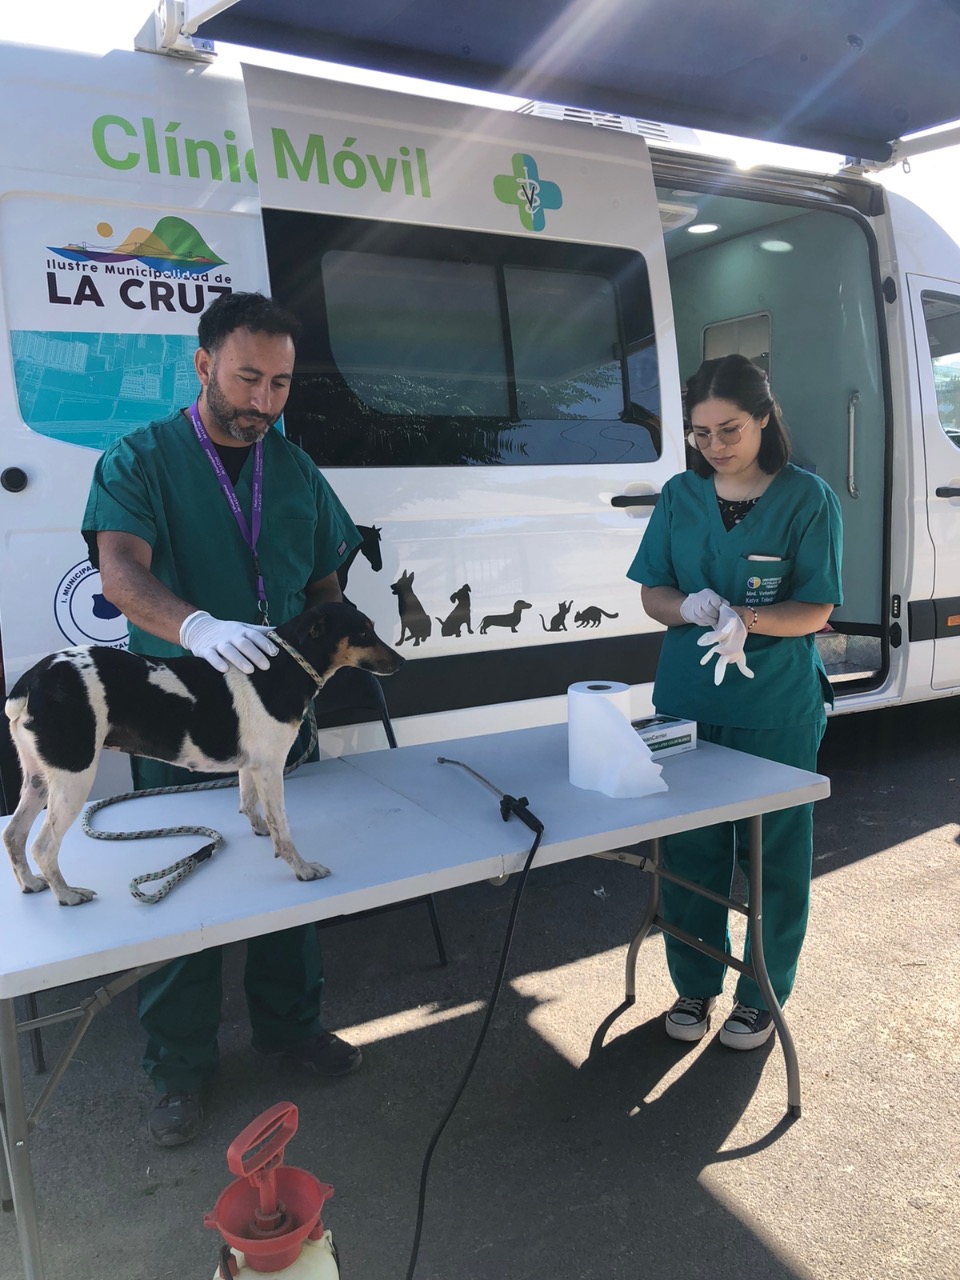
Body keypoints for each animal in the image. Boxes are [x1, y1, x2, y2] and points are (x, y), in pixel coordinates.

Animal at [3, 604, 401, 906]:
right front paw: (302, 869)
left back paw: (31, 884)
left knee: (13, 835)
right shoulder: (271, 766)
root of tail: (30, 681)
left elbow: (248, 801)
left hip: (39, 778)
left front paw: (259, 829)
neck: (285, 667)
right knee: (43, 846)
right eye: (364, 633)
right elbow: (283, 828)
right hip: (73, 777)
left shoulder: (252, 764)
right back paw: (67, 895)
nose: (400, 660)